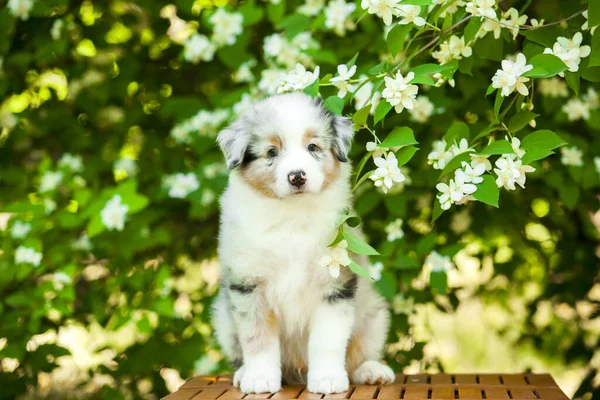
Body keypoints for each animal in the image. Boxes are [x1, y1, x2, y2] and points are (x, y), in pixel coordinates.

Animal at [212, 91, 394, 394]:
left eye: (312, 147)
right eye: (272, 152)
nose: (297, 176)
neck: (292, 215)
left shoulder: (335, 284)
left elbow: (328, 339)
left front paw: (328, 379)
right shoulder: (248, 283)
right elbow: (257, 336)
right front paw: (259, 377)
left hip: (374, 315)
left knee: (359, 353)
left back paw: (371, 370)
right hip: (223, 318)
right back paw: (243, 373)